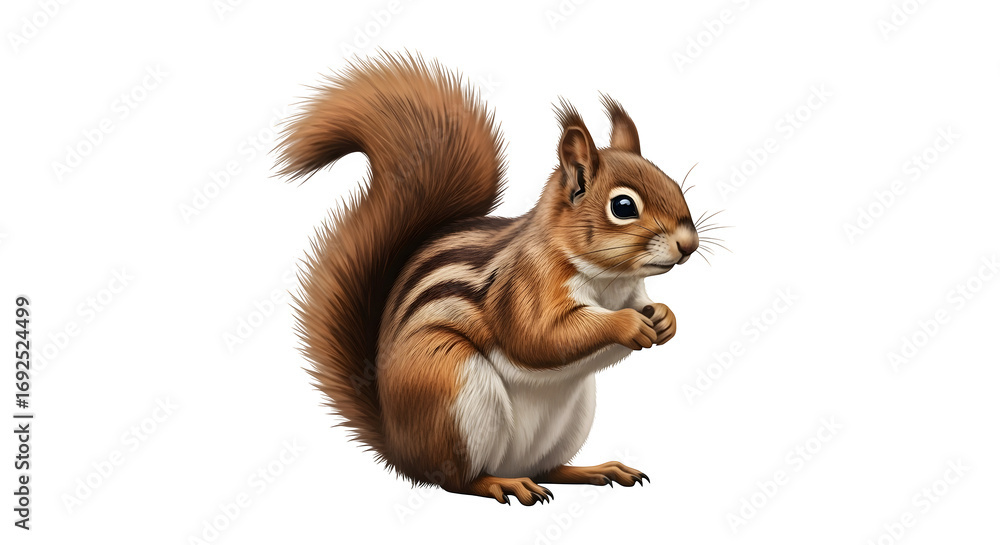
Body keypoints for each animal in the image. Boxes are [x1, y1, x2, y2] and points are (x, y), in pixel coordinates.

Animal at [275, 52, 702, 506]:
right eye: (623, 206)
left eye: (674, 184)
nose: (688, 244)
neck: (610, 280)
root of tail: (398, 446)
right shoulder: (524, 287)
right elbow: (538, 337)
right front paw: (627, 324)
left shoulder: (633, 290)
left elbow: (642, 307)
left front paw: (665, 318)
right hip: (450, 386)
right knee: (455, 479)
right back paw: (501, 483)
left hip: (573, 418)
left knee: (549, 468)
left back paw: (592, 469)